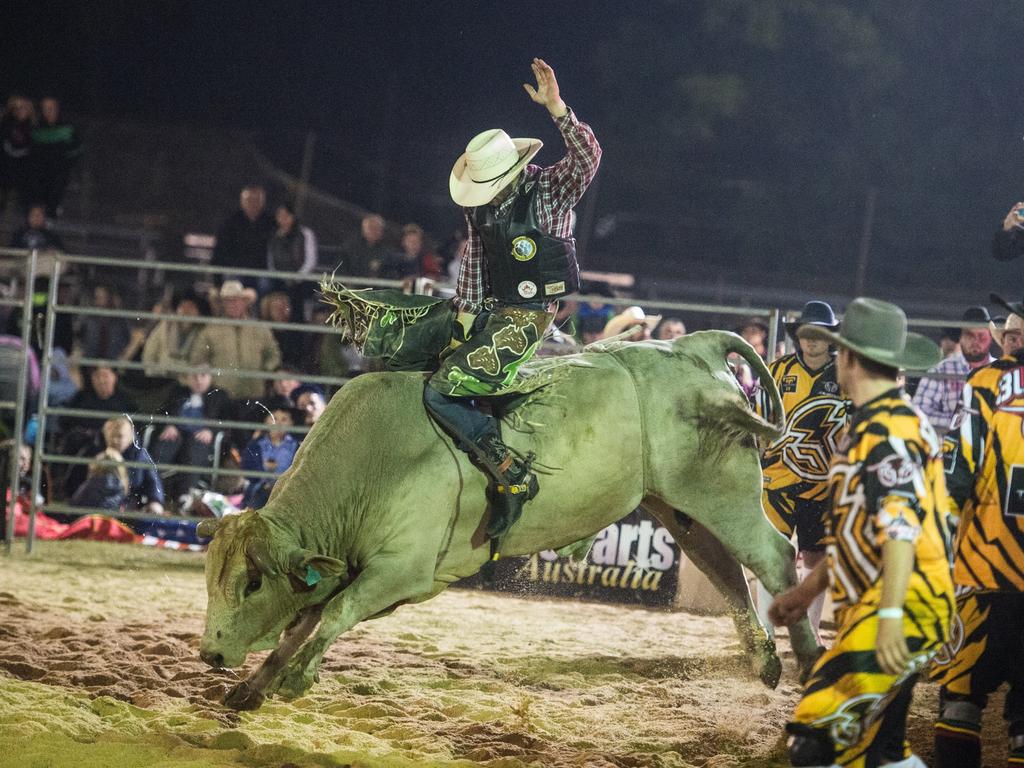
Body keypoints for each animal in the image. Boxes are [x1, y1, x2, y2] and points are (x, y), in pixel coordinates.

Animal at [197, 331, 815, 708]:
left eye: (253, 583)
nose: (210, 654)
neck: (374, 461)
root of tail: (695, 345)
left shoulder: (402, 573)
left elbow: (333, 614)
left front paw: (295, 679)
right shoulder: (349, 567)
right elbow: (304, 620)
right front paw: (253, 686)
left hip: (719, 490)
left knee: (774, 557)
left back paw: (808, 661)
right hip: (682, 504)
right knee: (726, 571)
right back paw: (765, 662)